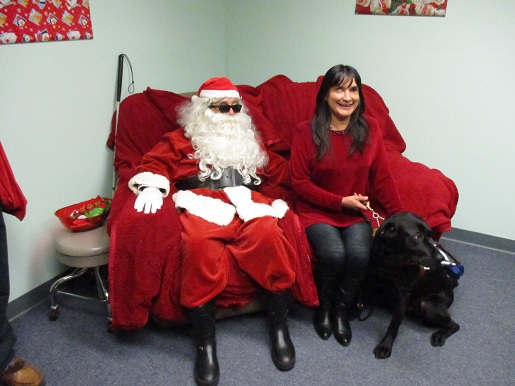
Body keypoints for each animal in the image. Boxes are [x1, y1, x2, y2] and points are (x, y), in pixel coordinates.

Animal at [366, 211, 460, 358]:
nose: (441, 258)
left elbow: (393, 325)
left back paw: (440, 335)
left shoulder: (403, 297)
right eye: (418, 236)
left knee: (454, 325)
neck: (390, 261)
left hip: (427, 306)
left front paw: (385, 346)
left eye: (430, 234)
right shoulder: (371, 281)